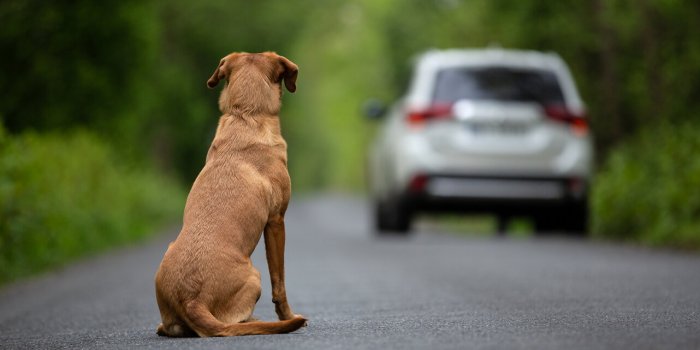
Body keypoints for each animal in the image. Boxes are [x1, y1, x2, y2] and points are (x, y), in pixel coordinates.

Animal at [155, 51, 304, 336]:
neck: (246, 114)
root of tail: (192, 300)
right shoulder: (276, 221)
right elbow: (279, 282)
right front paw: (287, 315)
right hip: (255, 276)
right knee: (237, 321)